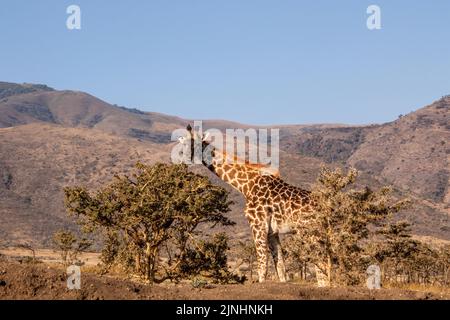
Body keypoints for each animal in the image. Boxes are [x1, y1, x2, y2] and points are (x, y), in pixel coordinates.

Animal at [180, 124, 316, 282]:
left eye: (196, 144)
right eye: (183, 144)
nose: (184, 159)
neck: (246, 186)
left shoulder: (257, 225)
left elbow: (262, 267)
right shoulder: (272, 231)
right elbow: (280, 267)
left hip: (311, 233)